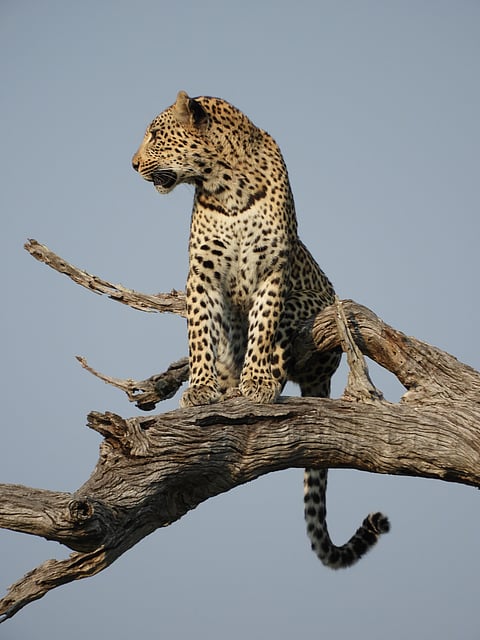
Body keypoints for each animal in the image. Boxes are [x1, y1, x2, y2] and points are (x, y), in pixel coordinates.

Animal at [132, 91, 389, 569]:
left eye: (156, 134)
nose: (132, 163)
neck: (224, 185)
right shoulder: (202, 274)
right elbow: (199, 333)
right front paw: (201, 388)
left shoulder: (273, 270)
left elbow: (264, 325)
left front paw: (257, 383)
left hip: (316, 302)